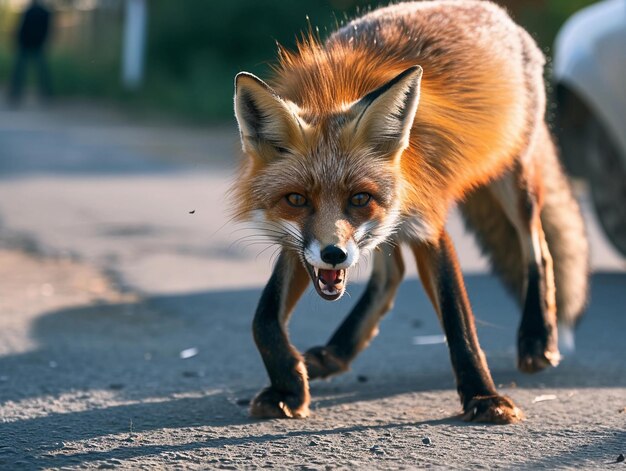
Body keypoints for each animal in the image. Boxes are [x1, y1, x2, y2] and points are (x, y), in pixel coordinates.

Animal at [229, 0, 584, 426]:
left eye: (359, 198)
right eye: (296, 199)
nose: (334, 254)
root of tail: (496, 12)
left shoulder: (428, 224)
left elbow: (459, 322)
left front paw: (484, 397)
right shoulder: (298, 242)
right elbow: (263, 319)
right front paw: (288, 387)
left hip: (513, 179)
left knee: (539, 251)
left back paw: (536, 338)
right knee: (391, 274)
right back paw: (337, 353)